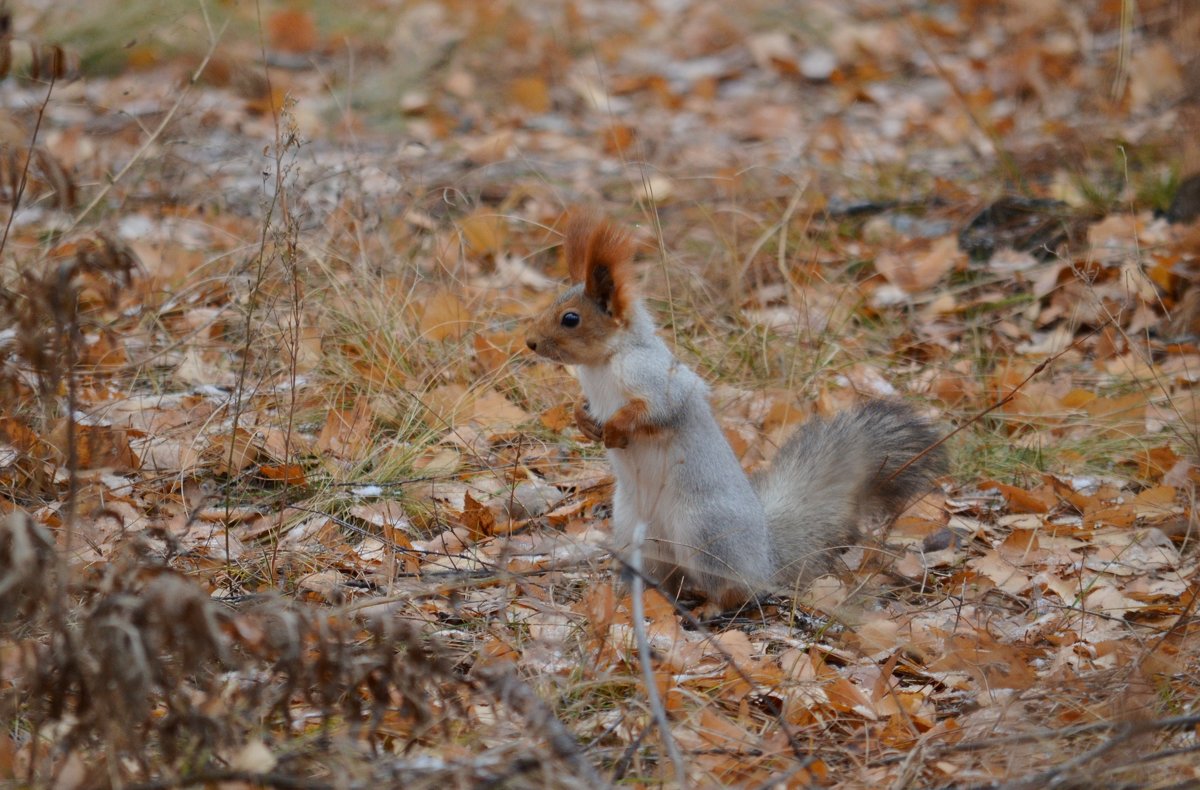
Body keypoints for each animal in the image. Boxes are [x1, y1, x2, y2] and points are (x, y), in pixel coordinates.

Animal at [525, 208, 945, 609]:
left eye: (570, 319)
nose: (530, 342)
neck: (603, 363)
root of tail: (765, 558)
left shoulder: (659, 380)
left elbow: (657, 411)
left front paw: (615, 428)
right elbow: (584, 409)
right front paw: (585, 421)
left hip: (707, 534)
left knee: (733, 589)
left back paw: (711, 607)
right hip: (636, 535)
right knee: (669, 580)